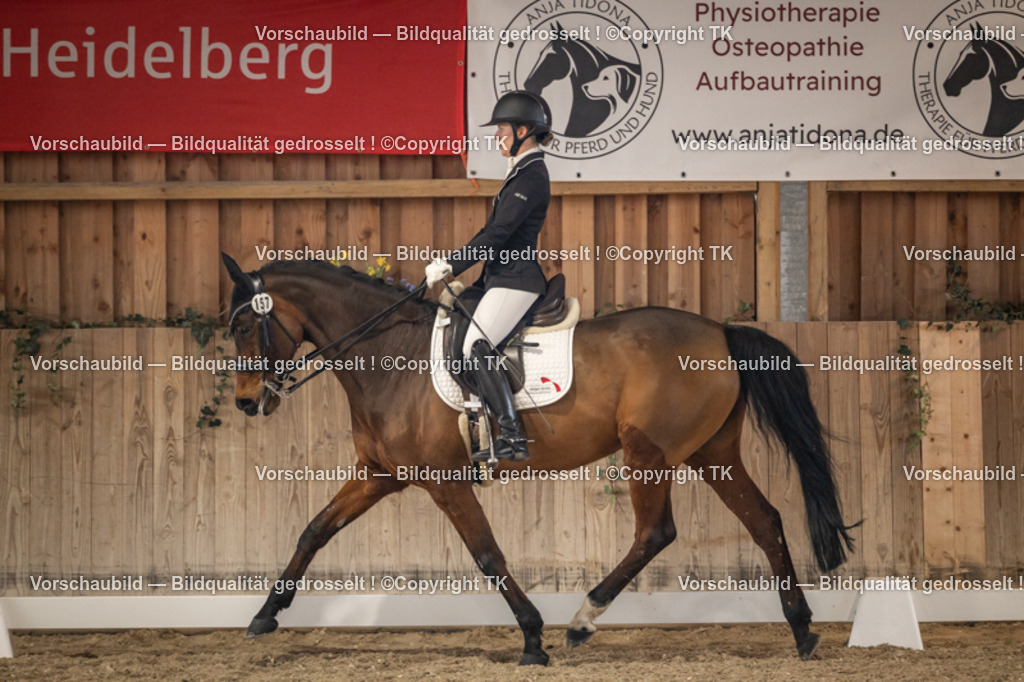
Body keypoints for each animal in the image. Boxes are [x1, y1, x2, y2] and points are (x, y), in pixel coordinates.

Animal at [221, 254, 855, 666]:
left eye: (246, 325)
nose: (248, 402)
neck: (389, 354)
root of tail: (720, 333)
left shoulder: (445, 482)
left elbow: (488, 555)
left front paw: (531, 638)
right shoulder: (380, 476)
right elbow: (313, 530)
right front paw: (264, 616)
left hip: (649, 452)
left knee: (656, 532)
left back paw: (581, 621)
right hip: (710, 452)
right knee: (765, 520)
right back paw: (802, 631)